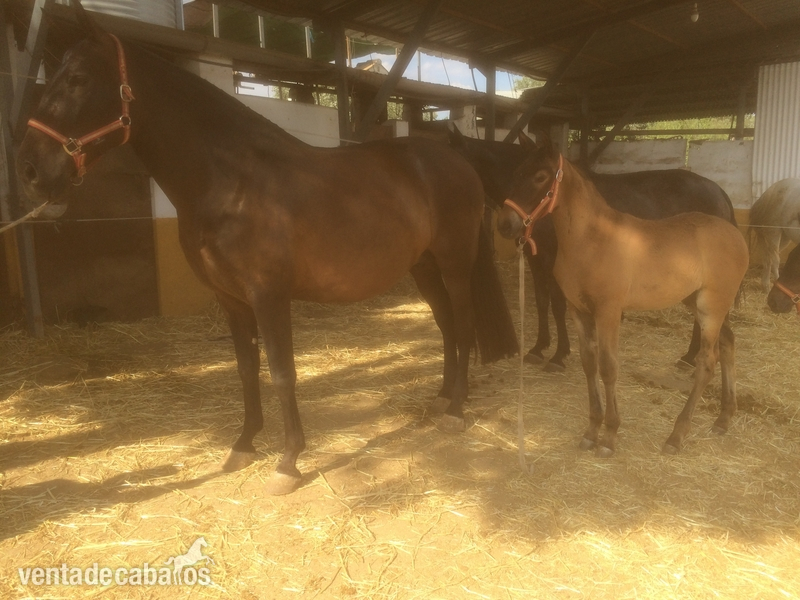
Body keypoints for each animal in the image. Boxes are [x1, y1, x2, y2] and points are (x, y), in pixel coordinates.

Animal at [15, 2, 518, 495]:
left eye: (77, 79)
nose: (31, 170)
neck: (231, 182)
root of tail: (454, 158)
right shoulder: (232, 300)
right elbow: (245, 370)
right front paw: (243, 445)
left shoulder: (269, 296)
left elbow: (281, 371)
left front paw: (288, 461)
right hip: (424, 267)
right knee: (448, 327)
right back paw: (443, 398)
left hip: (453, 265)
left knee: (463, 325)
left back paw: (456, 409)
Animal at [448, 126, 739, 371]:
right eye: (517, 173)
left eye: (540, 177)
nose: (506, 225)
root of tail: (718, 191)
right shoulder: (536, 258)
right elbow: (542, 302)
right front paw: (539, 348)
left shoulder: (556, 261)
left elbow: (557, 305)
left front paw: (559, 355)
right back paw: (691, 357)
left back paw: (691, 358)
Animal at [498, 136, 748, 456]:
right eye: (517, 172)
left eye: (541, 177)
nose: (505, 224)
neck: (591, 239)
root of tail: (733, 232)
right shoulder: (579, 311)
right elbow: (589, 364)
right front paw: (592, 431)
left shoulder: (608, 312)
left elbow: (608, 367)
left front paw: (609, 436)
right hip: (701, 303)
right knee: (728, 342)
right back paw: (724, 418)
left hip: (711, 307)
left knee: (707, 362)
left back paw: (676, 435)